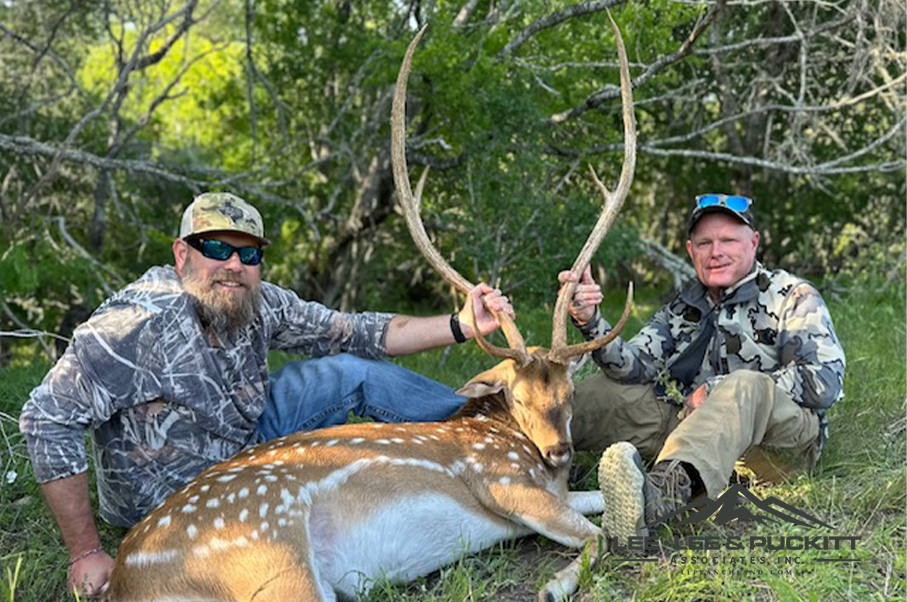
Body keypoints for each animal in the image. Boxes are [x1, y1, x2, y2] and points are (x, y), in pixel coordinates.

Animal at [106, 14, 636, 600]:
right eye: (517, 396)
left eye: (569, 393)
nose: (559, 452)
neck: (512, 443)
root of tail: (125, 577)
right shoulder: (504, 481)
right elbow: (597, 536)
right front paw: (553, 584)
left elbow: (598, 507)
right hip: (275, 558)